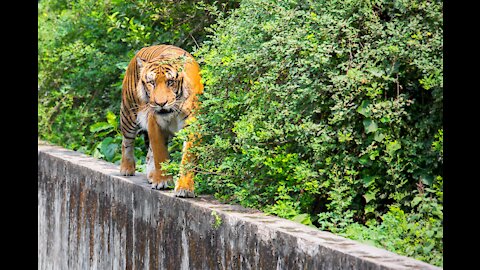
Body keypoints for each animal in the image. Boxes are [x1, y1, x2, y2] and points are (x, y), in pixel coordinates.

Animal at [121, 44, 203, 198]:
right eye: (151, 82)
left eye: (170, 82)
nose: (160, 103)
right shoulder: (155, 123)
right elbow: (160, 153)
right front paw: (163, 181)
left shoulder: (192, 124)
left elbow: (187, 158)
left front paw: (184, 188)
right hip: (128, 113)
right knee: (127, 142)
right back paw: (126, 168)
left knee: (148, 154)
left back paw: (151, 175)